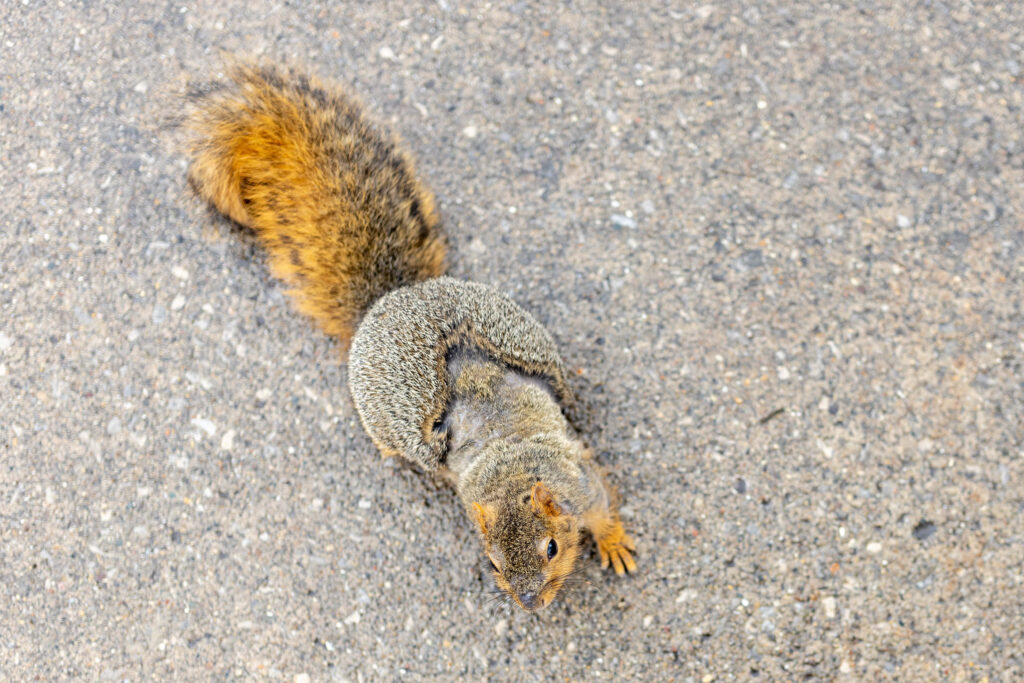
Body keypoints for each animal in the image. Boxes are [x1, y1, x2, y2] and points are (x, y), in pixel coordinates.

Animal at [183, 63, 635, 611]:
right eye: (492, 563)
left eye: (551, 547)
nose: (530, 603)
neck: (510, 461)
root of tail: (390, 299)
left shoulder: (582, 482)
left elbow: (604, 509)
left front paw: (614, 543)